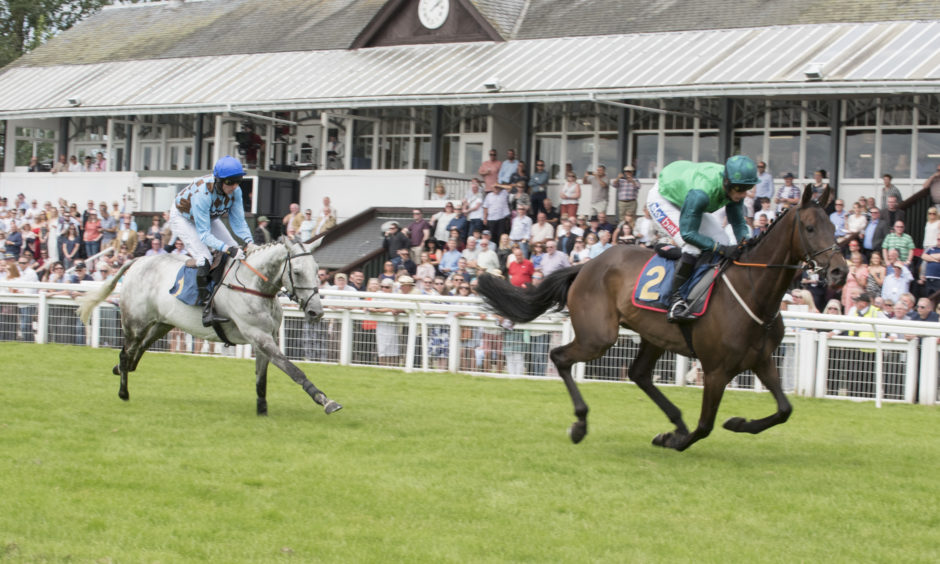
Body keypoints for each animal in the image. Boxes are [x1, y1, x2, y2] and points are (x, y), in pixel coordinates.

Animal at [77, 237, 342, 414]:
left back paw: (119, 370)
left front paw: (262, 409)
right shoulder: (258, 335)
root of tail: (137, 261)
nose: (316, 311)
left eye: (317, 270)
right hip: (136, 322)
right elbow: (294, 370)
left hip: (161, 324)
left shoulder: (267, 338)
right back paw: (123, 392)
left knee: (135, 353)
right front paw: (326, 400)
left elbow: (261, 379)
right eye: (296, 272)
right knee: (126, 353)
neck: (254, 285)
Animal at [482, 185, 848, 450]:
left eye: (835, 227)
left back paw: (675, 420)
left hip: (652, 335)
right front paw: (675, 440)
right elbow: (706, 426)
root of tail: (586, 265)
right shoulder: (716, 370)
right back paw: (581, 423)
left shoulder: (762, 360)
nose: (840, 271)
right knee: (560, 357)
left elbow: (785, 410)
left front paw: (737, 423)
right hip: (599, 336)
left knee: (639, 374)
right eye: (810, 228)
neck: (753, 292)